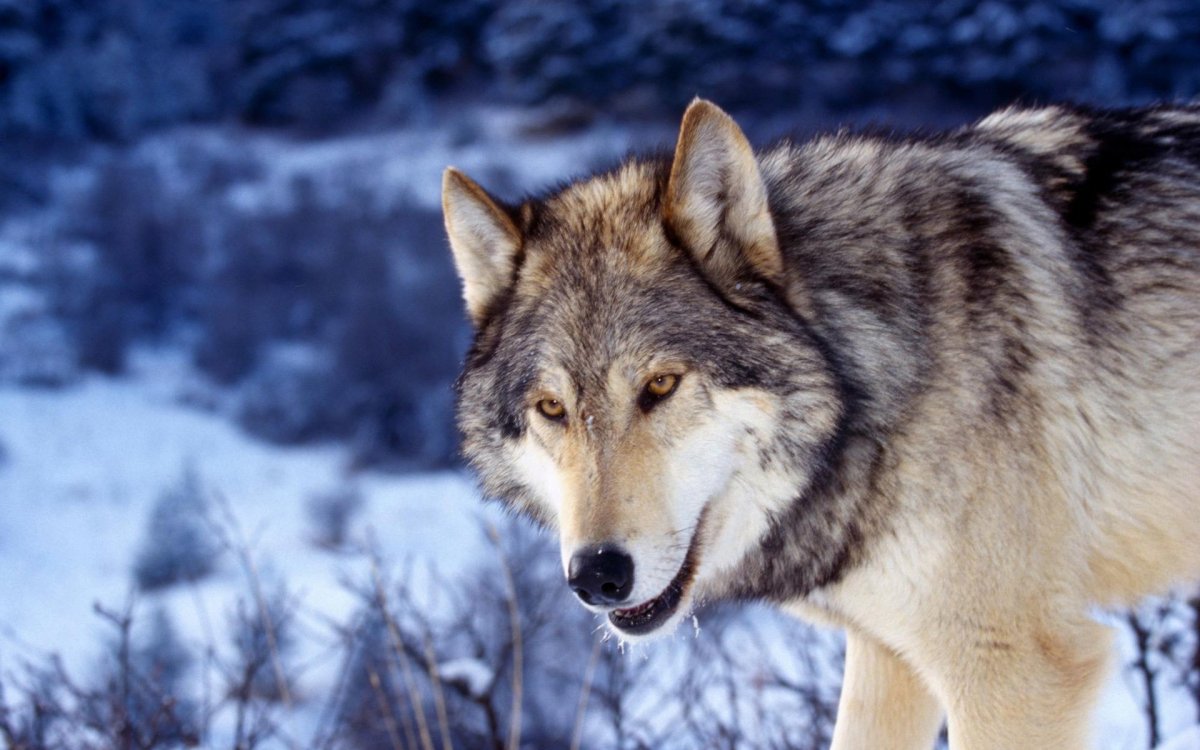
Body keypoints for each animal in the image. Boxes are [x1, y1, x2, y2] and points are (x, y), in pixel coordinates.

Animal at [441, 99, 1200, 748]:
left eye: (660, 385)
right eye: (552, 409)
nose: (597, 574)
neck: (875, 376)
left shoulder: (1015, 670)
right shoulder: (888, 654)